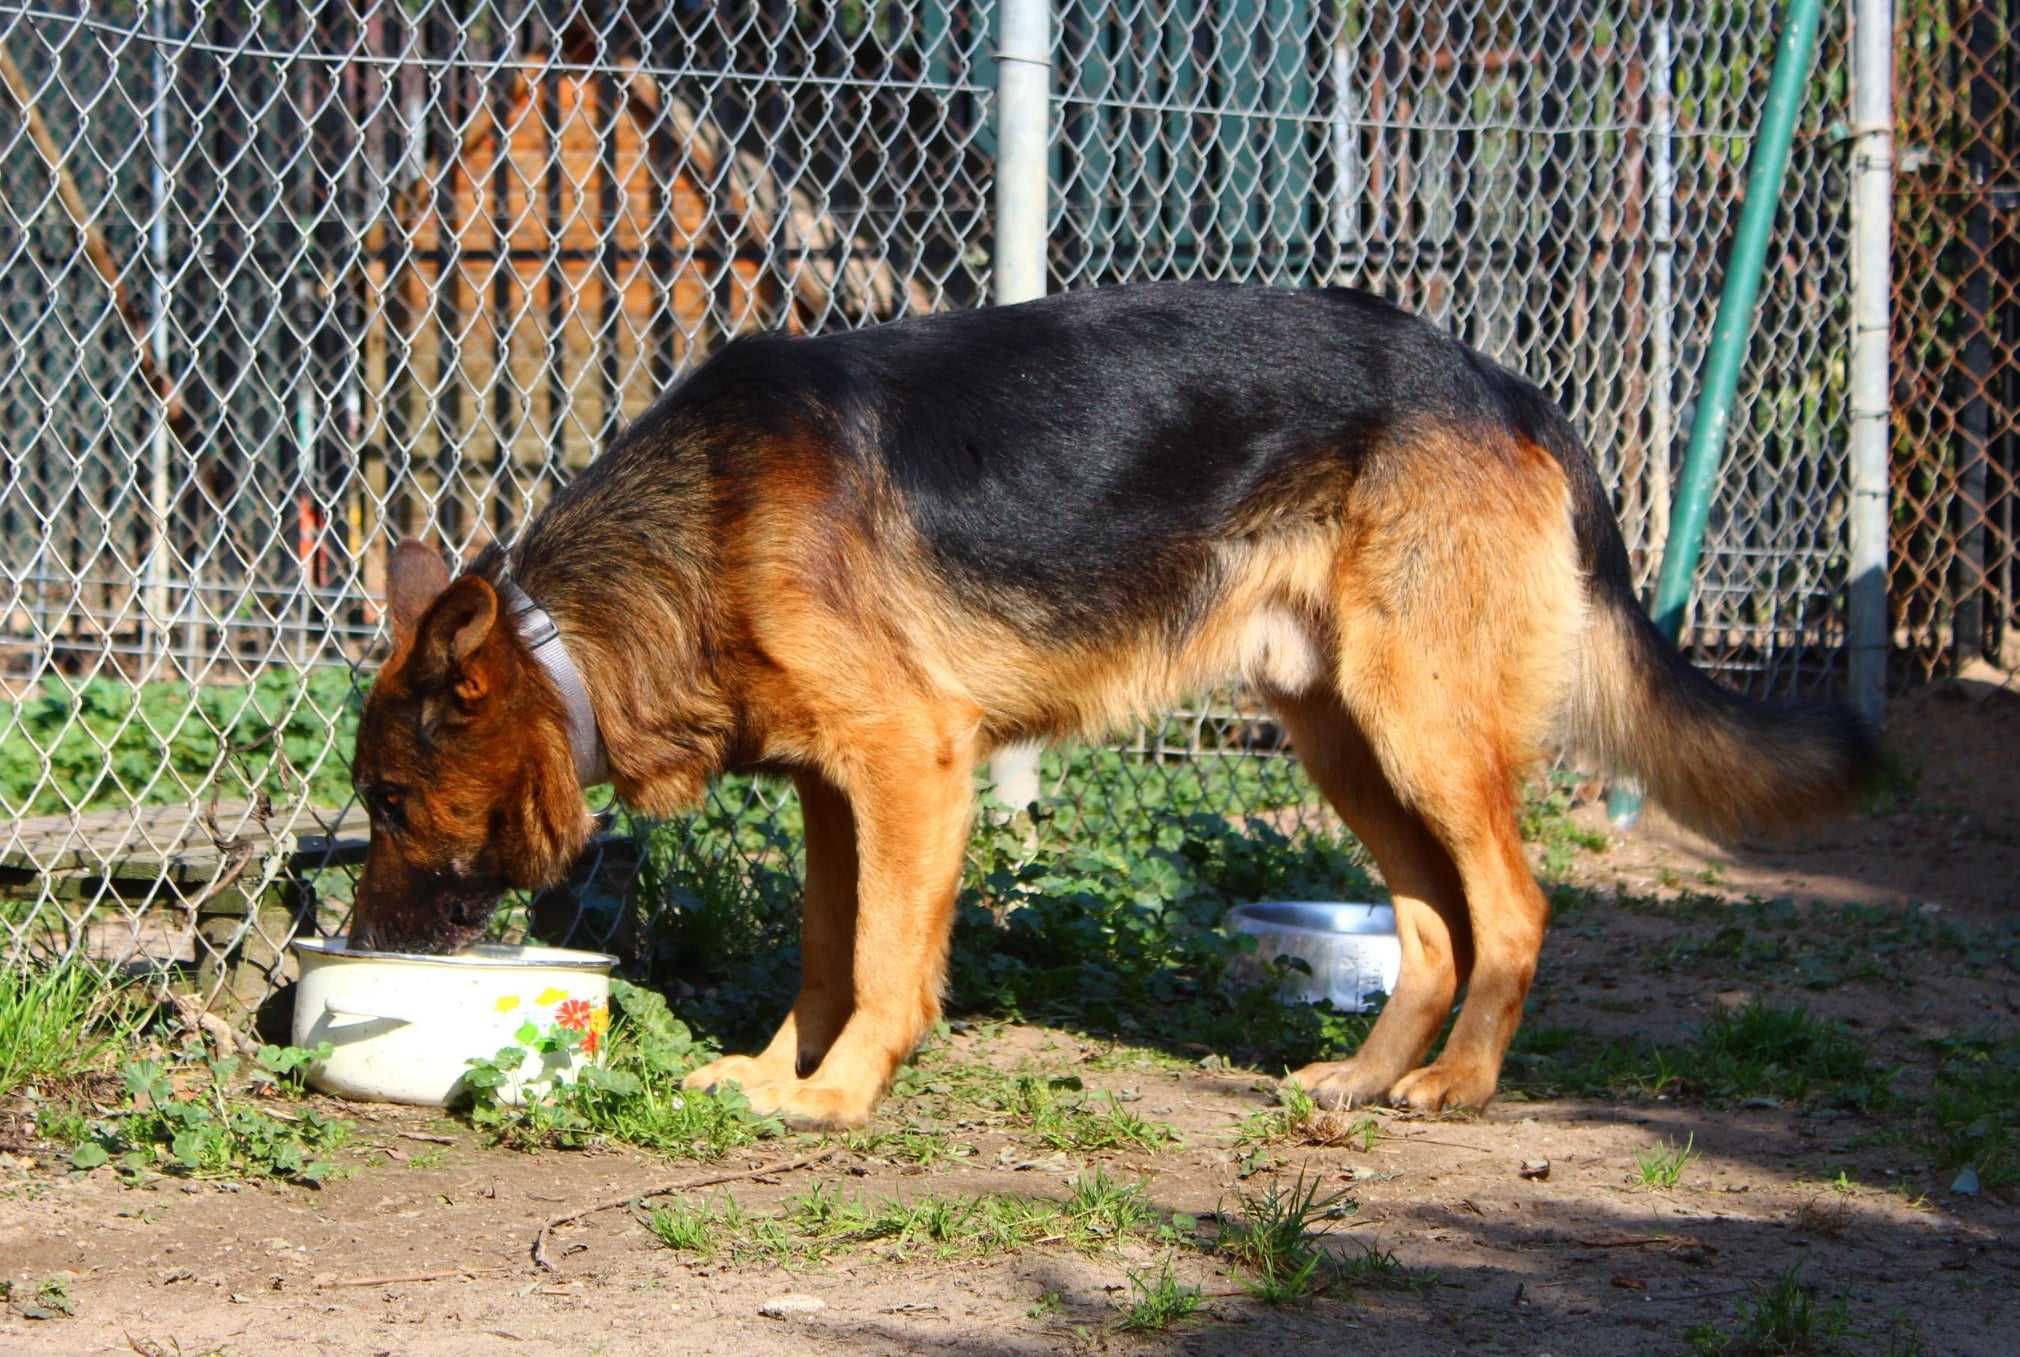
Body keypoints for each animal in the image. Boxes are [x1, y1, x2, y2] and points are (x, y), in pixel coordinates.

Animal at [351, 280, 1874, 1130]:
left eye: (388, 801)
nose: (355, 946)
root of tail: (1506, 386)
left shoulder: (911, 764)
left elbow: (886, 961)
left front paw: (840, 1095)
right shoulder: (836, 791)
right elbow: (826, 952)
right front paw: (784, 1077)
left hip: (1422, 726)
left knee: (1513, 906)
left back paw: (1463, 1086)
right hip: (1347, 741)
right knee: (1433, 926)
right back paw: (1367, 1078)